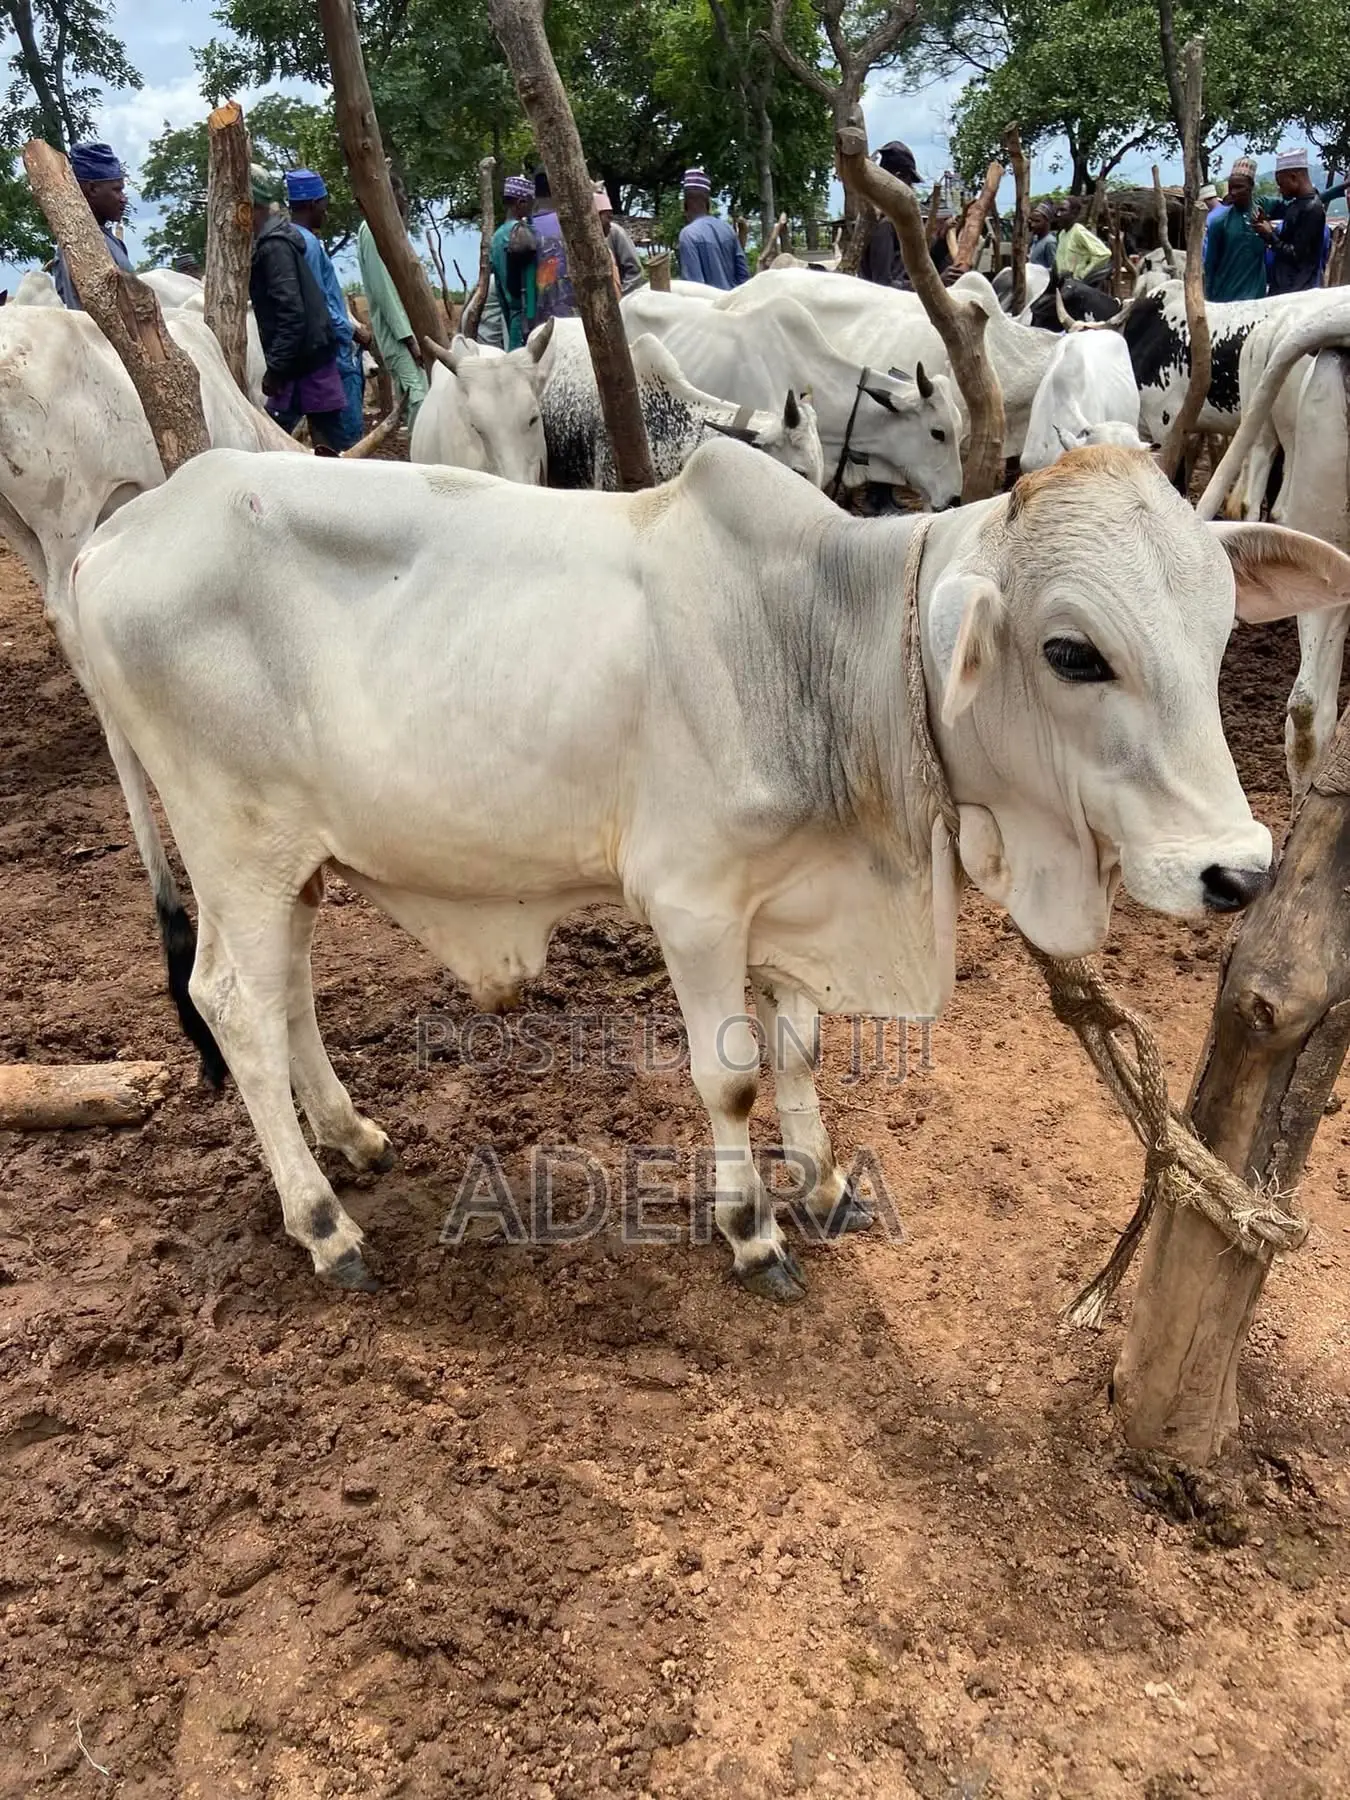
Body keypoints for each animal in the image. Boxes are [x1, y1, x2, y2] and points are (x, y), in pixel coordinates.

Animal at [71, 441, 1350, 1299]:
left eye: (1219, 633)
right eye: (1074, 653)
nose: (1236, 871)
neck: (823, 649)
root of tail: (117, 533)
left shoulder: (790, 899)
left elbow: (801, 1051)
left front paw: (822, 1183)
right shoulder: (693, 906)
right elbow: (729, 1078)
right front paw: (751, 1229)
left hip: (293, 856)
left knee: (285, 986)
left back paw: (349, 1136)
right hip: (231, 840)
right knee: (232, 1002)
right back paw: (324, 1221)